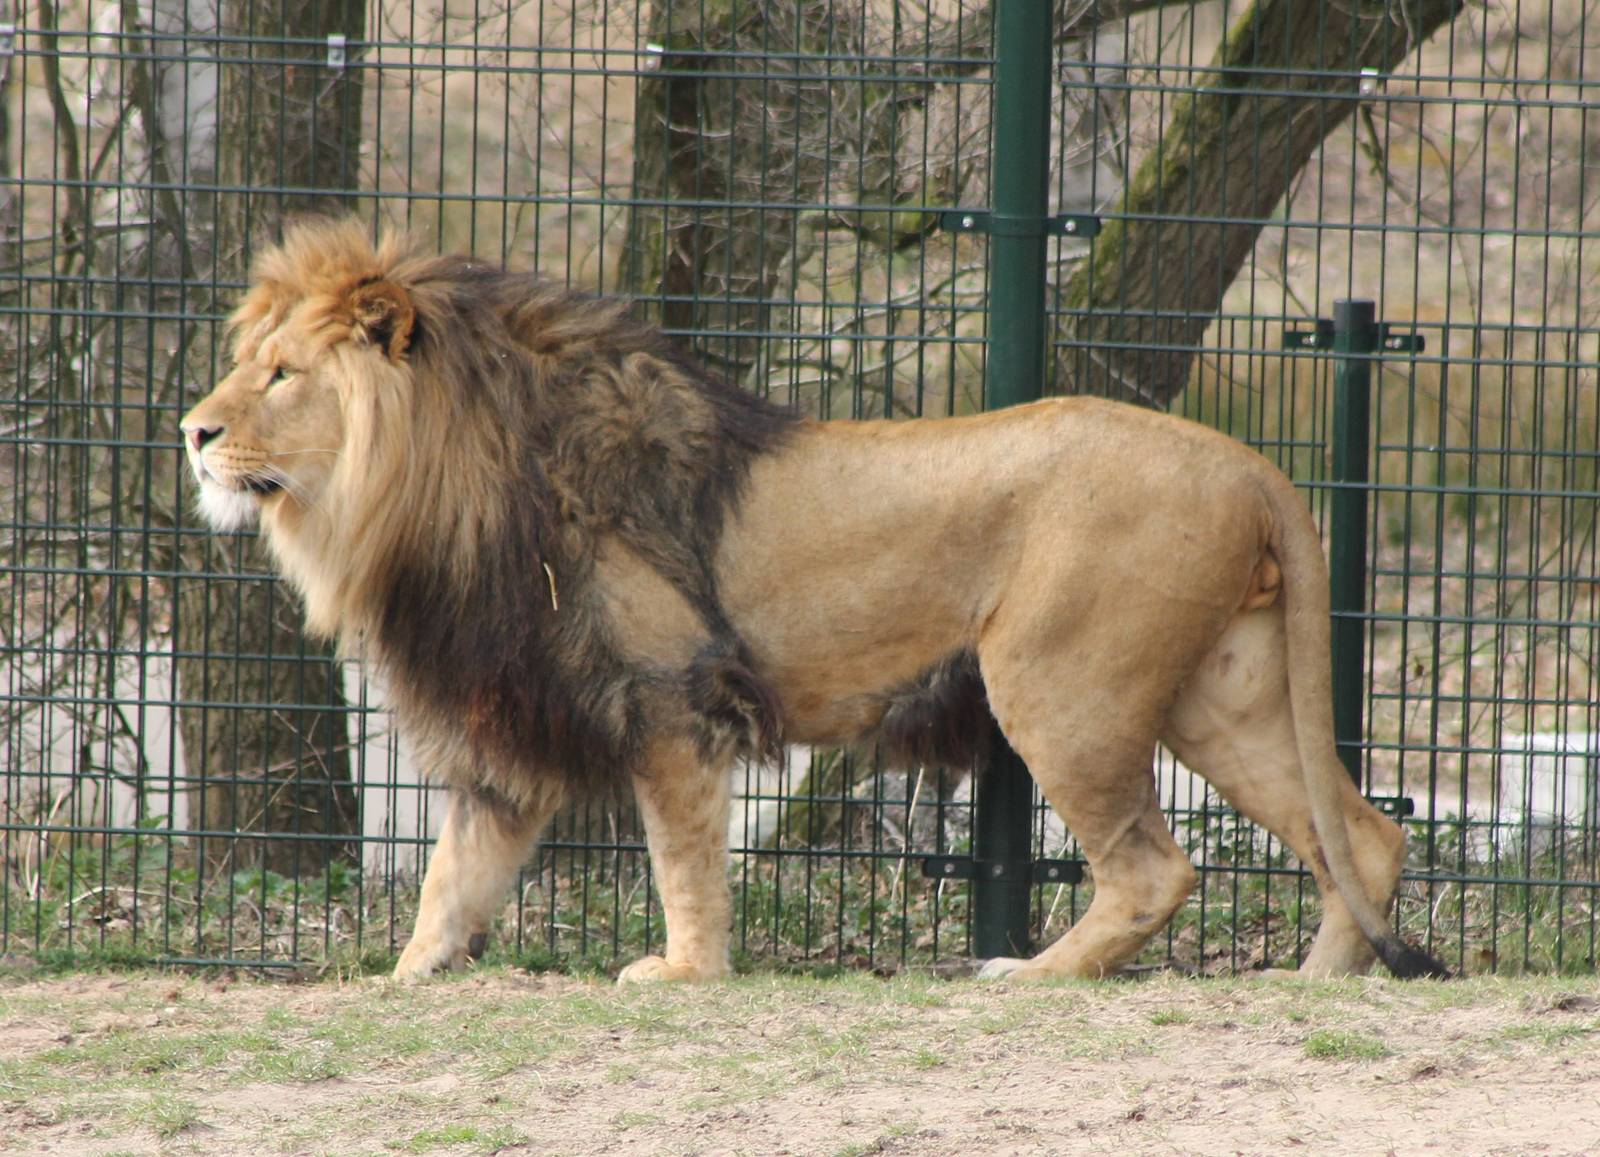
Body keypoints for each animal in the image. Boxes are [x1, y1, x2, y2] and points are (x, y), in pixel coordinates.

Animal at [180, 217, 1448, 983]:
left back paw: (1023, 976)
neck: (446, 482)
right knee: (1361, 833)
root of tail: (1246, 461)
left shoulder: (669, 695)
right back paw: (1315, 983)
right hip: (1216, 694)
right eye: (250, 362)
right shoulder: (523, 718)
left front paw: (683, 971)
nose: (192, 430)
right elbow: (453, 878)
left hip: (1061, 684)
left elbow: (680, 853)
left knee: (1154, 868)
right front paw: (402, 977)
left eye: (281, 374)